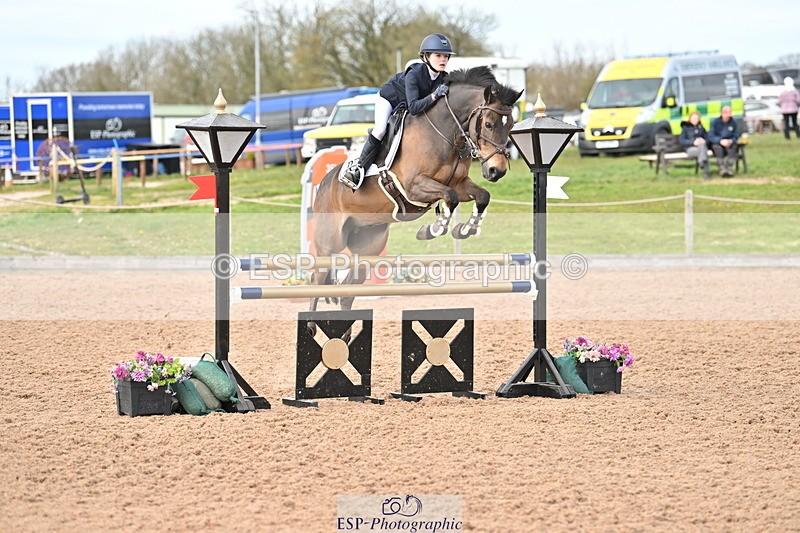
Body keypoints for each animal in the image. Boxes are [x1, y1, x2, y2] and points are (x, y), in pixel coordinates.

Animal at [308, 66, 523, 318]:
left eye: (511, 126)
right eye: (488, 124)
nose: (496, 171)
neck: (444, 133)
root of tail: (323, 185)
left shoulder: (459, 184)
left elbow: (481, 196)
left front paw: (465, 229)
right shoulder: (414, 187)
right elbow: (449, 198)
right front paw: (432, 230)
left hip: (368, 244)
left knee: (347, 291)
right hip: (329, 244)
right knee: (317, 280)